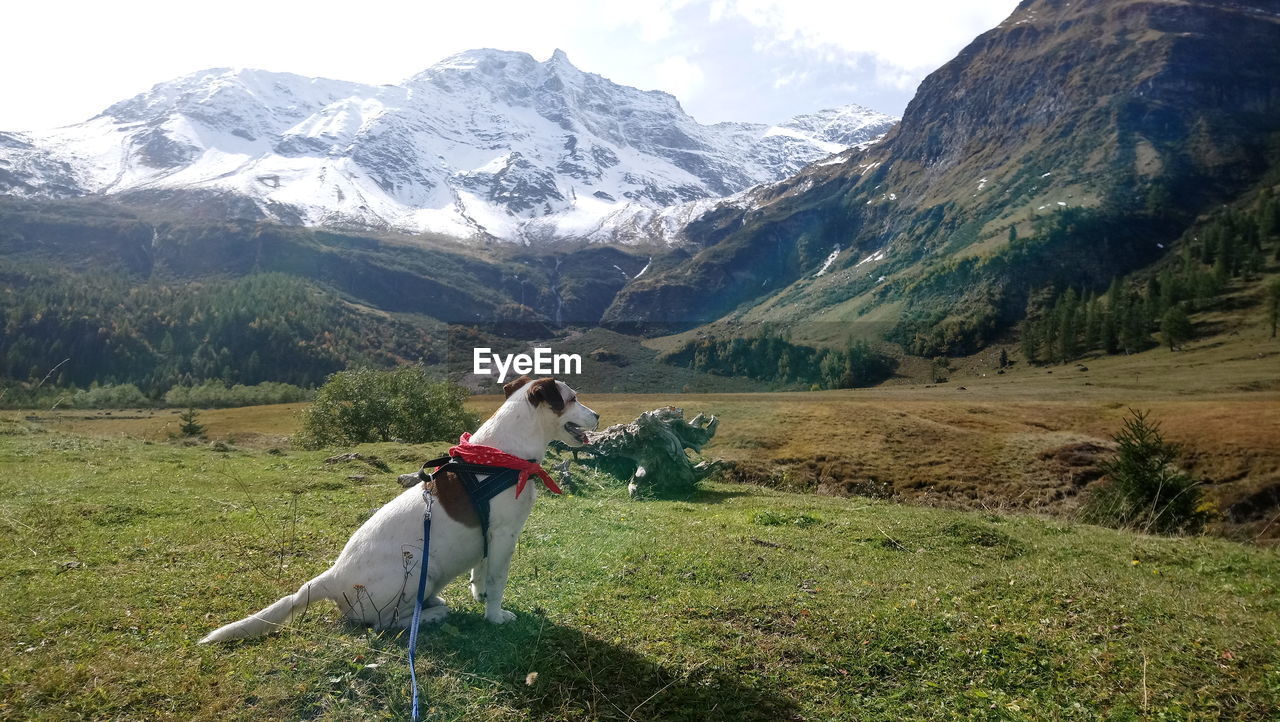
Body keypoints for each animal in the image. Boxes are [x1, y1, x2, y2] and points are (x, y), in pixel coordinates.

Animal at [199, 376, 599, 640]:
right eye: (573, 398)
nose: (596, 415)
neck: (502, 455)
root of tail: (332, 577)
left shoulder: (490, 535)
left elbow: (482, 571)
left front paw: (480, 595)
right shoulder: (503, 534)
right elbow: (497, 579)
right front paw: (495, 615)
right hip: (421, 564)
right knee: (384, 623)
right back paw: (432, 615)